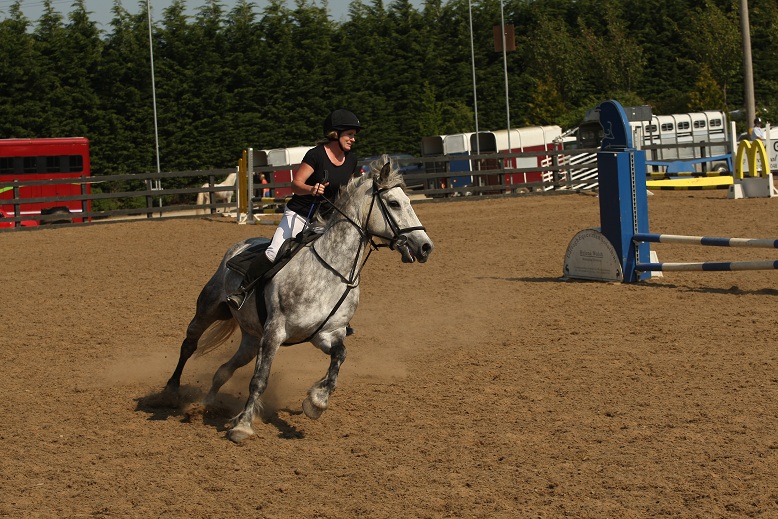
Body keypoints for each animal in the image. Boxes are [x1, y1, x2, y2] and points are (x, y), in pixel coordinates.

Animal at [163, 156, 434, 443]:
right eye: (394, 203)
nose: (426, 247)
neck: (333, 271)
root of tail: (241, 244)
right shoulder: (274, 332)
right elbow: (259, 380)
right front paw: (243, 426)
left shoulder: (325, 333)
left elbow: (340, 357)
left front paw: (316, 402)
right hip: (209, 309)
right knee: (189, 344)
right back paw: (171, 392)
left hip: (251, 339)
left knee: (223, 370)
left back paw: (207, 403)